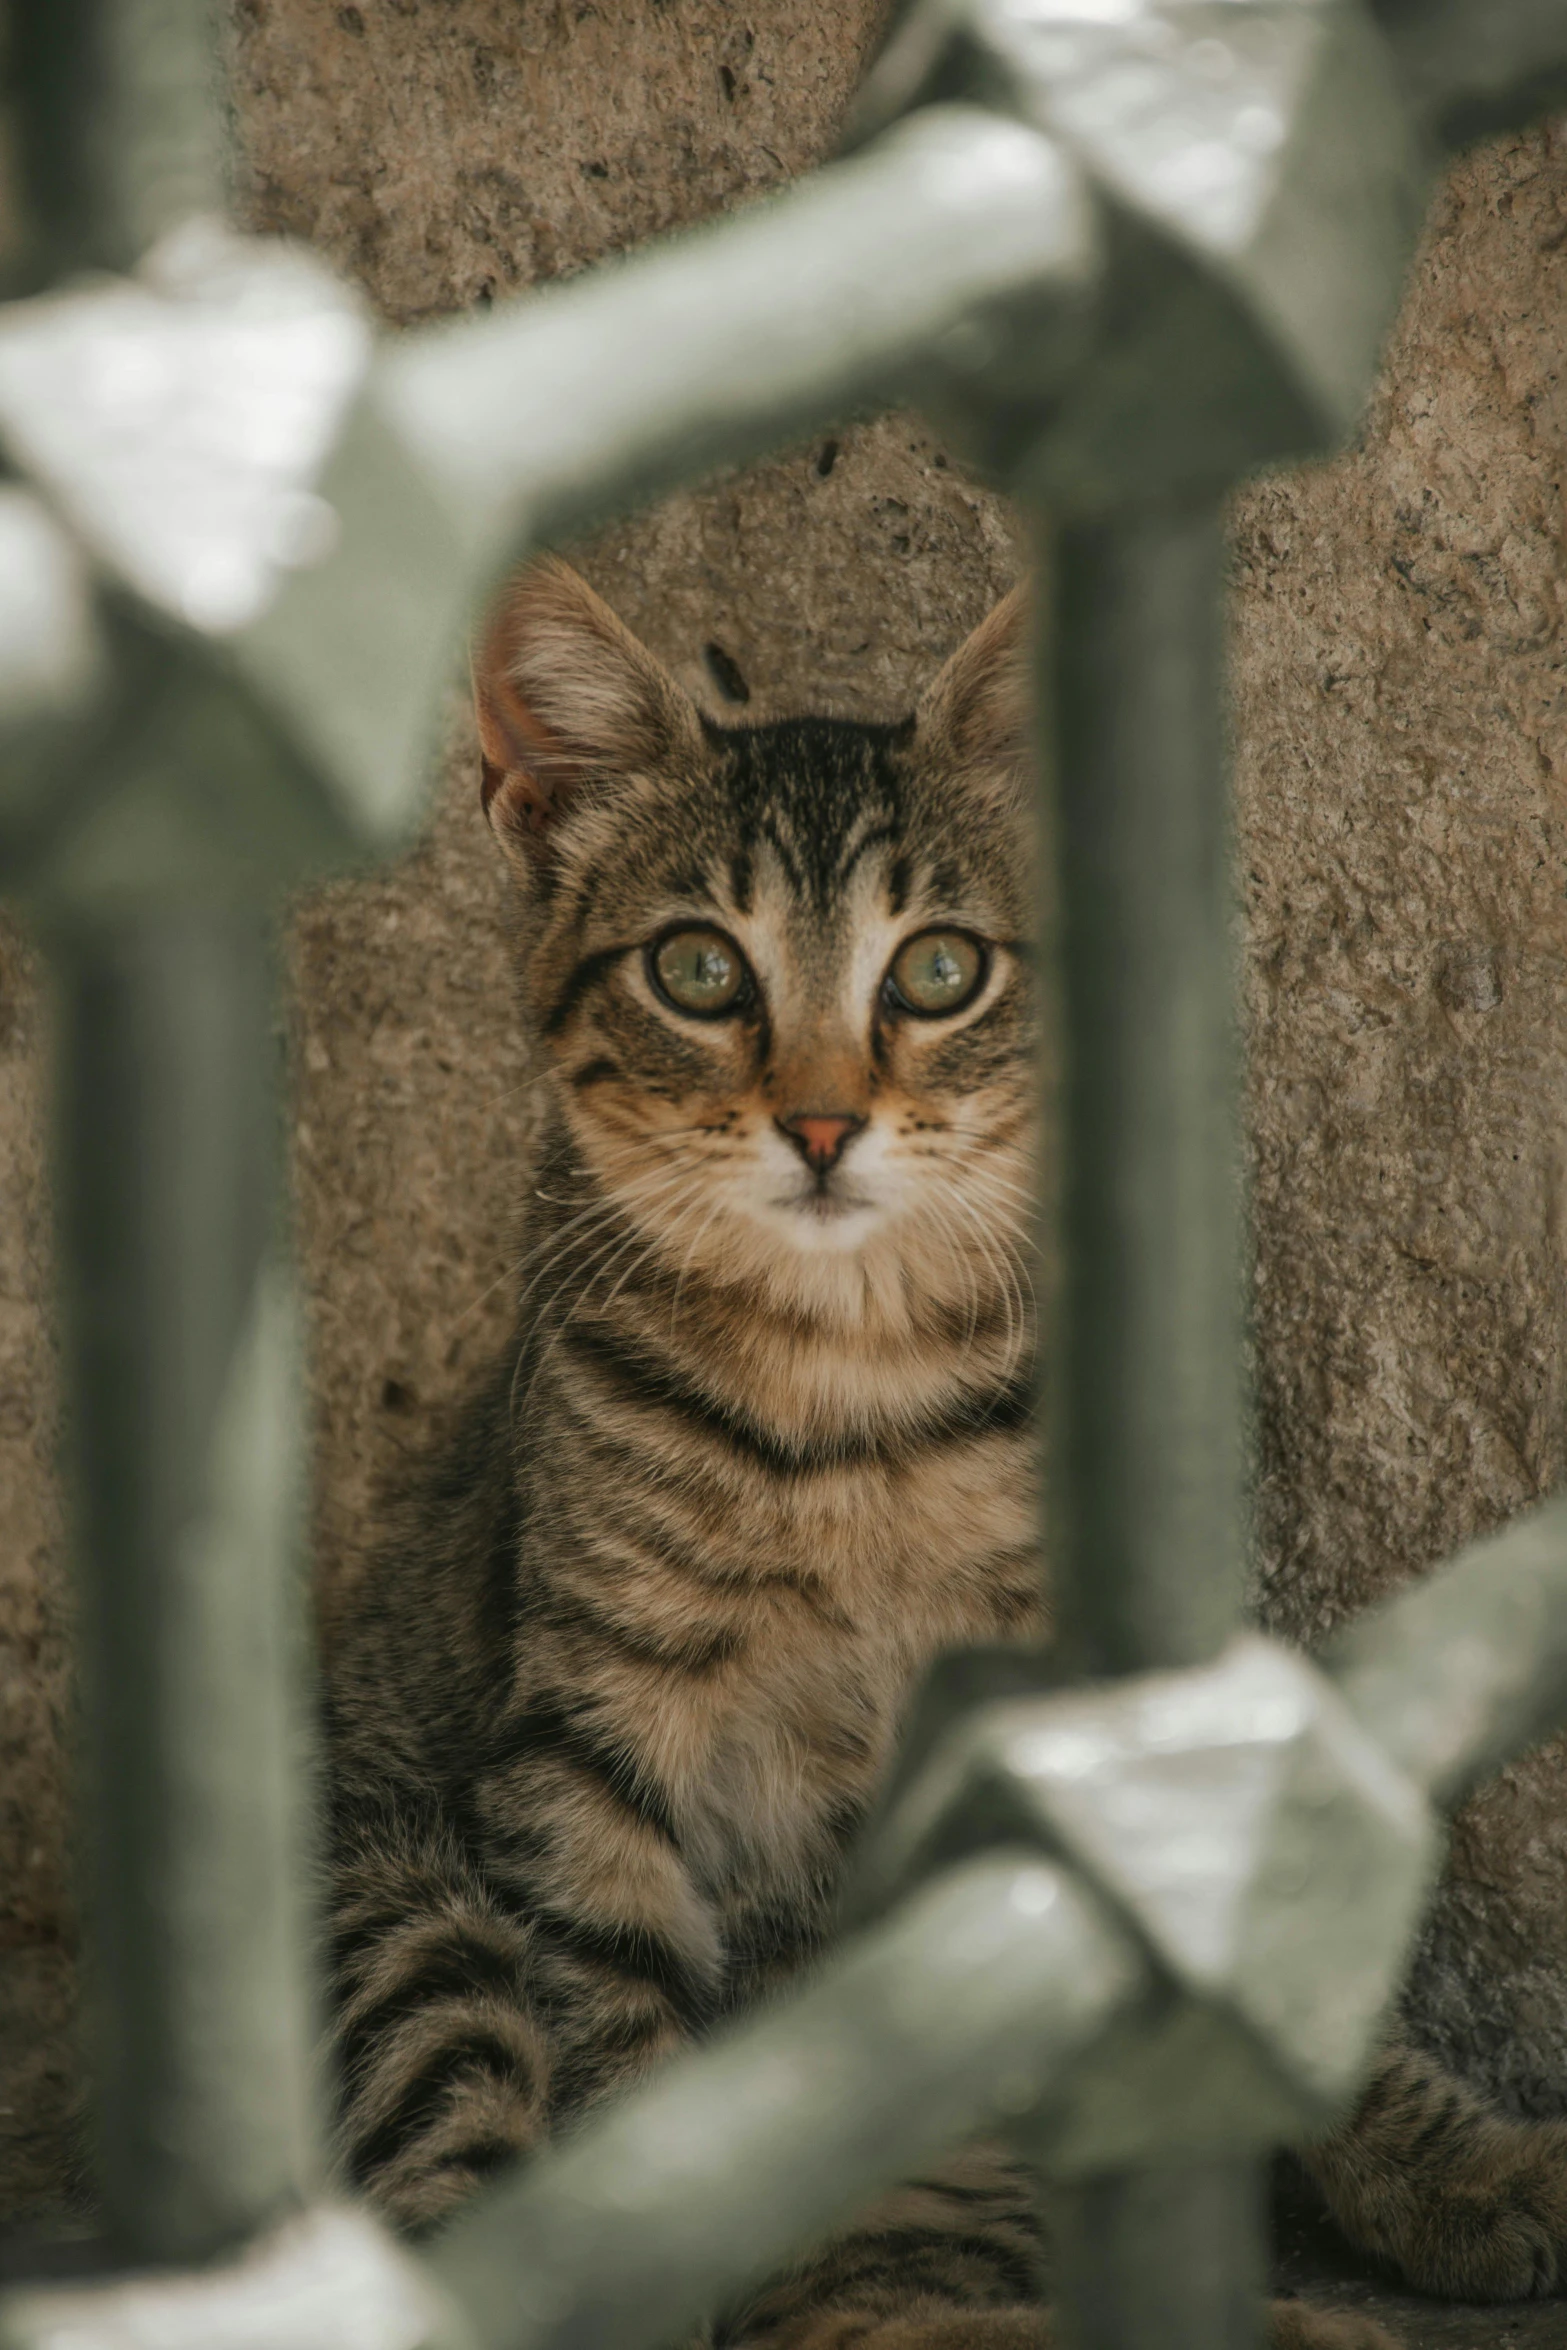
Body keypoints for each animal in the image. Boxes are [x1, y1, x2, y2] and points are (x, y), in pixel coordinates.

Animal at [328, 559, 1567, 2340]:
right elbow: (616, 2069)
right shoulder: (583, 1736)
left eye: (934, 972)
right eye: (696, 970)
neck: (851, 1388)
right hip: (403, 1909)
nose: (820, 1122)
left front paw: (1453, 2166)